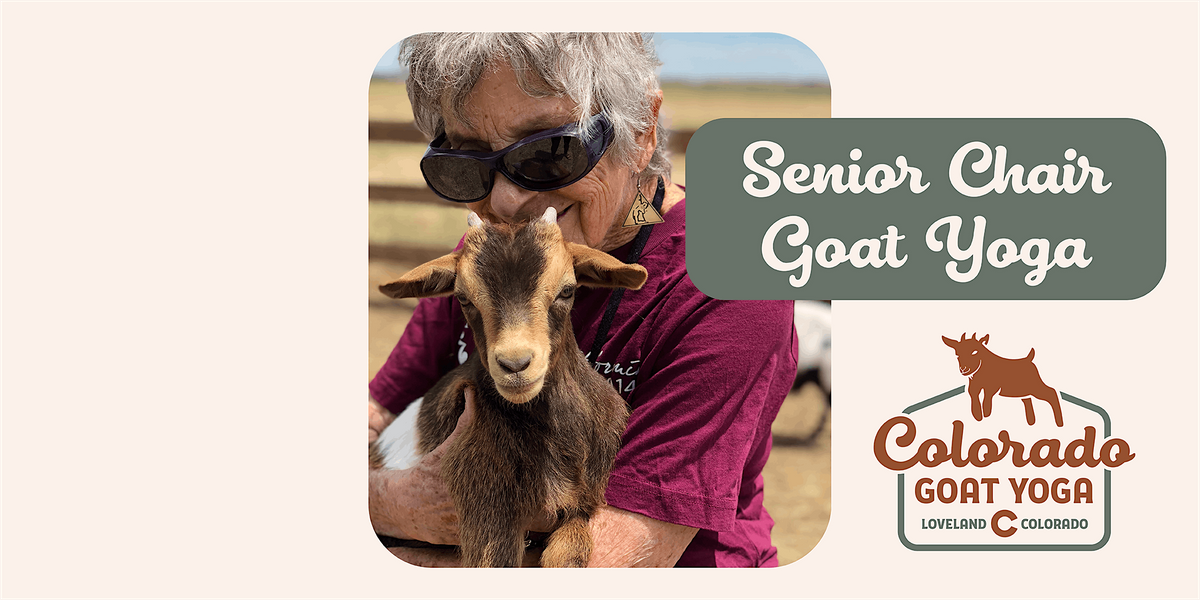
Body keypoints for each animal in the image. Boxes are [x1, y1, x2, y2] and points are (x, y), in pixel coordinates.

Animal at [370, 208, 645, 567]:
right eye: (463, 298)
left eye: (567, 290)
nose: (515, 365)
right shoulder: (486, 505)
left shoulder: (582, 502)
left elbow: (571, 550)